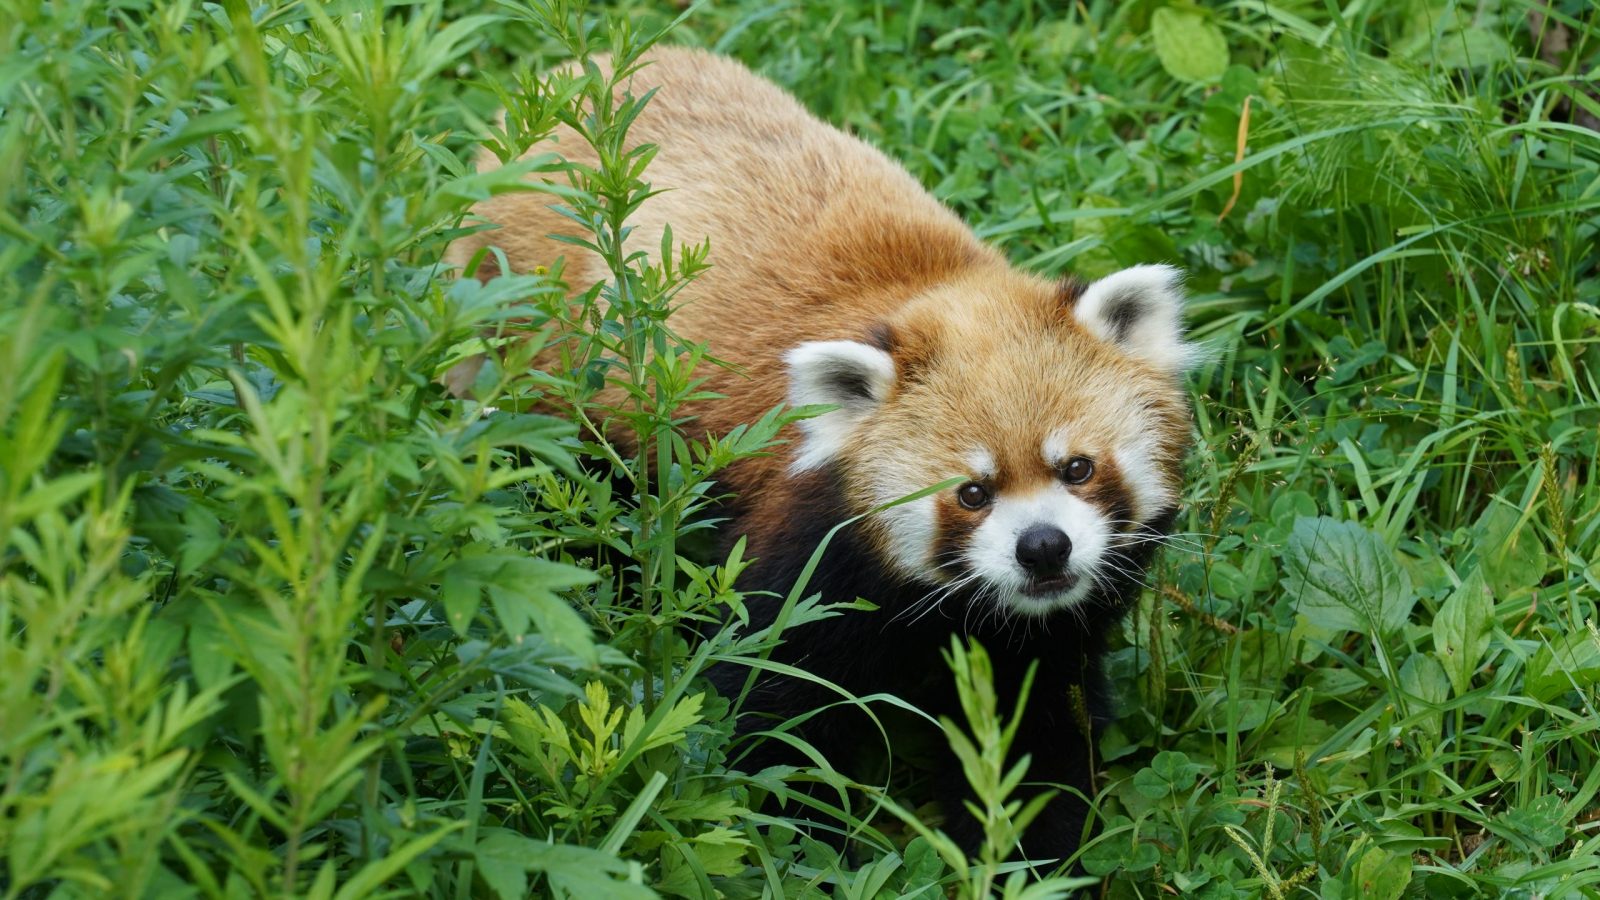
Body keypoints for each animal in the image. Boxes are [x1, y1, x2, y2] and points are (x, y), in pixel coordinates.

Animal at [444, 47, 1196, 851]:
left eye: (1077, 468)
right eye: (972, 493)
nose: (1044, 547)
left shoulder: (1052, 632)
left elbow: (1039, 728)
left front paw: (1026, 850)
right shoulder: (809, 551)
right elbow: (773, 706)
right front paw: (804, 837)